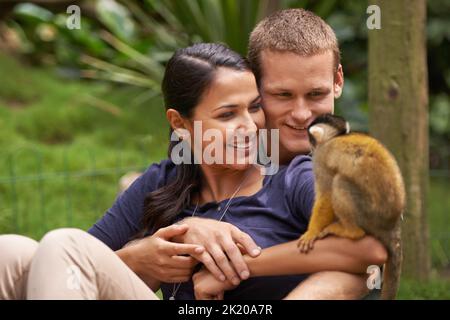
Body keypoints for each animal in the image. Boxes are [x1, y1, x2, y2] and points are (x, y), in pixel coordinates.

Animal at [298, 114, 404, 298]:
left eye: (310, 138)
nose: (309, 148)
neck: (334, 137)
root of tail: (391, 226)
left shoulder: (320, 158)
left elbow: (326, 194)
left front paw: (311, 232)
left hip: (368, 214)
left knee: (340, 182)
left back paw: (350, 232)